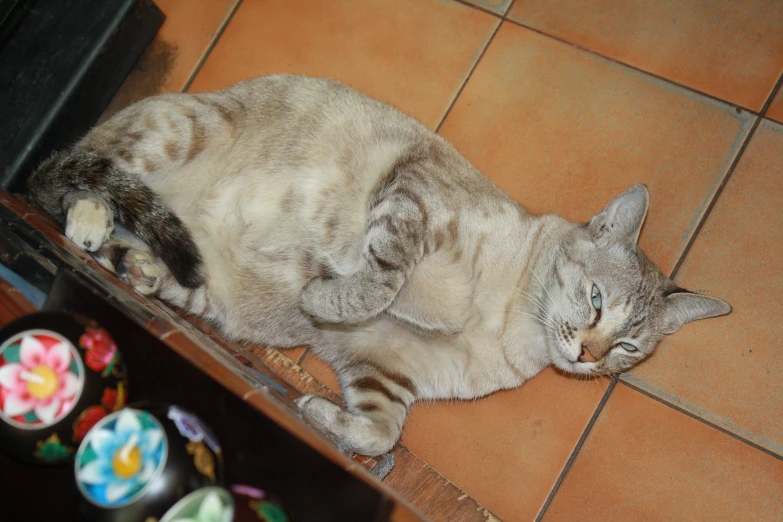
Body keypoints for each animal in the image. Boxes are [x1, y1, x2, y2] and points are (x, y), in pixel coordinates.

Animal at [27, 73, 732, 456]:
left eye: (628, 347)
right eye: (595, 299)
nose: (587, 355)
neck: (513, 330)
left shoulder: (382, 371)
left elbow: (380, 435)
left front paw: (315, 413)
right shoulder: (415, 199)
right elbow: (381, 277)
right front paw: (322, 295)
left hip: (205, 290)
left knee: (138, 242)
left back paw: (132, 264)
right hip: (182, 128)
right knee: (73, 172)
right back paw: (87, 218)